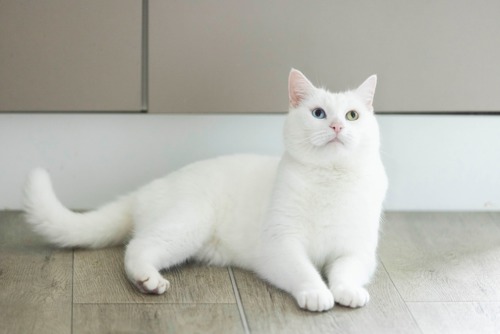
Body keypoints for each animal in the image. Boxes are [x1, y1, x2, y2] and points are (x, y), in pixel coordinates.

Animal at [23, 69, 386, 312]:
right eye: (318, 114)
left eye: (352, 115)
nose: (336, 126)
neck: (330, 181)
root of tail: (146, 189)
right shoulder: (280, 244)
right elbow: (304, 270)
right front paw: (317, 293)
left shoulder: (358, 250)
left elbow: (347, 271)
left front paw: (347, 291)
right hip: (188, 222)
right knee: (136, 248)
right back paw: (148, 281)